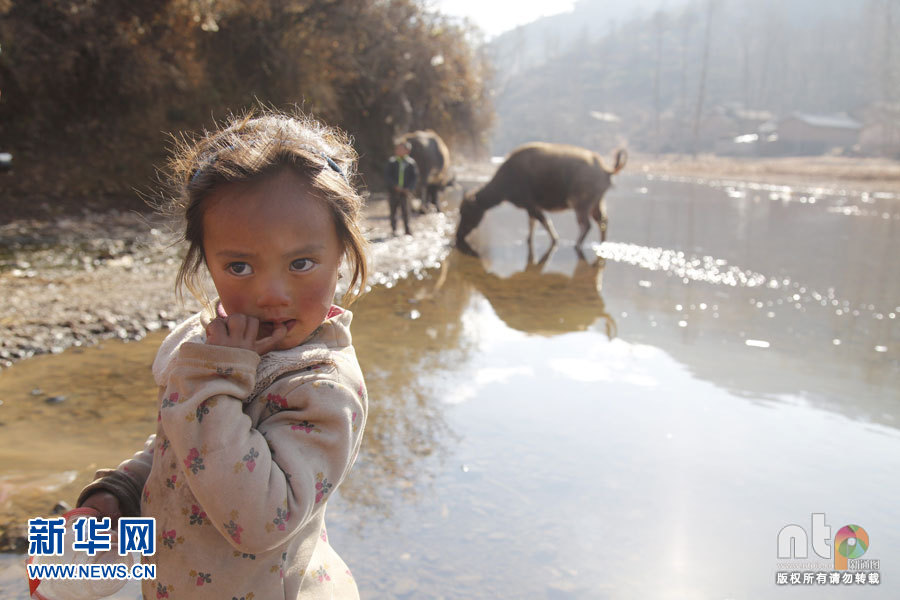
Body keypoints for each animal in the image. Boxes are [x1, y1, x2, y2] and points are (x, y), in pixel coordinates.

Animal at [458, 142, 624, 254]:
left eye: (465, 212)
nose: (458, 235)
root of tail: (605, 170)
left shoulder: (531, 205)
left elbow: (545, 223)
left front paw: (555, 240)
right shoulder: (531, 208)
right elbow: (532, 225)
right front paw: (528, 240)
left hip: (581, 204)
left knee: (587, 225)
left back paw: (577, 245)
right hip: (597, 203)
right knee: (603, 221)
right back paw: (602, 243)